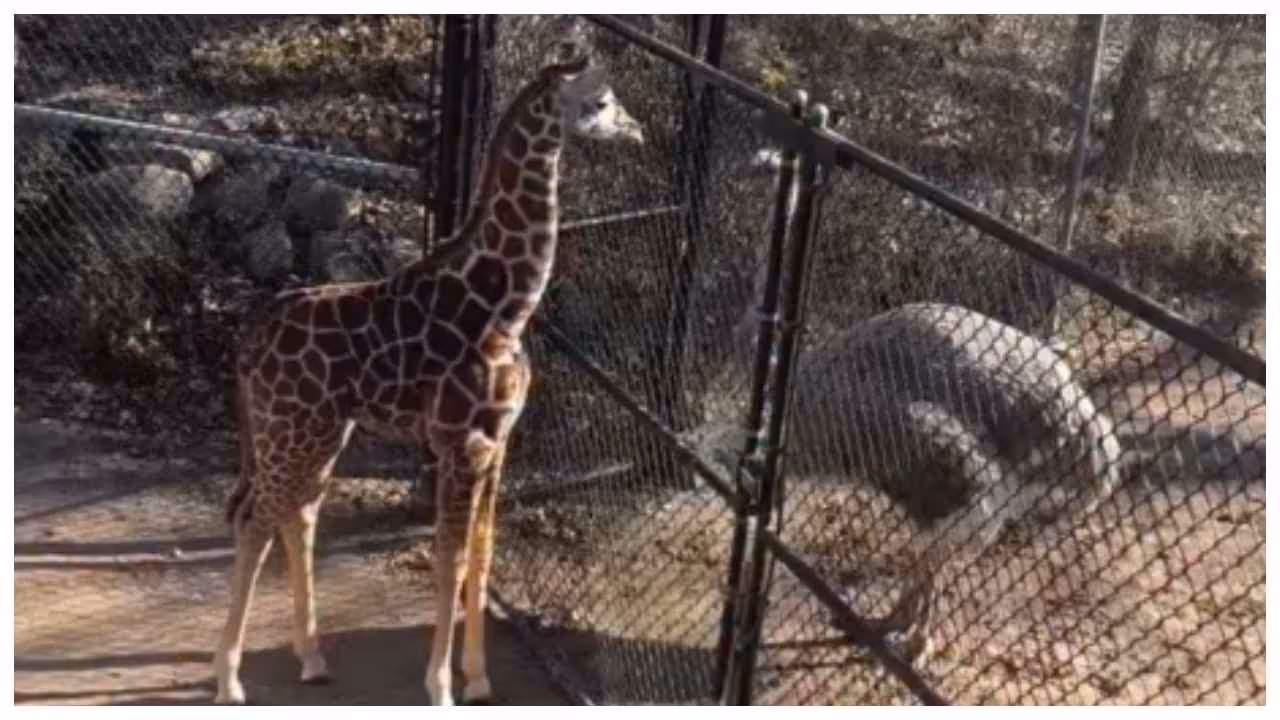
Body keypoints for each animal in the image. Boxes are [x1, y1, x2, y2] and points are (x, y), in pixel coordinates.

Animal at [212, 40, 644, 706]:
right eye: (600, 101)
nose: (638, 130)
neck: (507, 306)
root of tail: (249, 338)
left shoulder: (498, 443)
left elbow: (483, 554)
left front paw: (480, 677)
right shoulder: (463, 443)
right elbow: (450, 558)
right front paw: (440, 687)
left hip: (317, 431)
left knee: (297, 513)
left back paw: (311, 657)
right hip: (291, 428)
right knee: (255, 518)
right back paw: (230, 680)